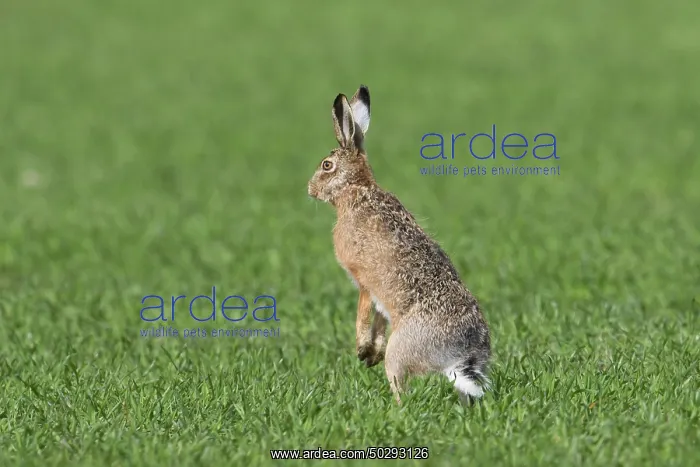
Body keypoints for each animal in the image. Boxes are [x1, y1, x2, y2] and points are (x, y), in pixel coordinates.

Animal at [307, 85, 491, 405]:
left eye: (327, 166)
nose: (310, 189)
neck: (356, 190)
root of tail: (460, 355)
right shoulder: (380, 301)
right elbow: (379, 320)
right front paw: (370, 354)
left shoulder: (363, 280)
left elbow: (363, 314)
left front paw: (361, 349)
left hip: (401, 351)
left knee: (399, 384)